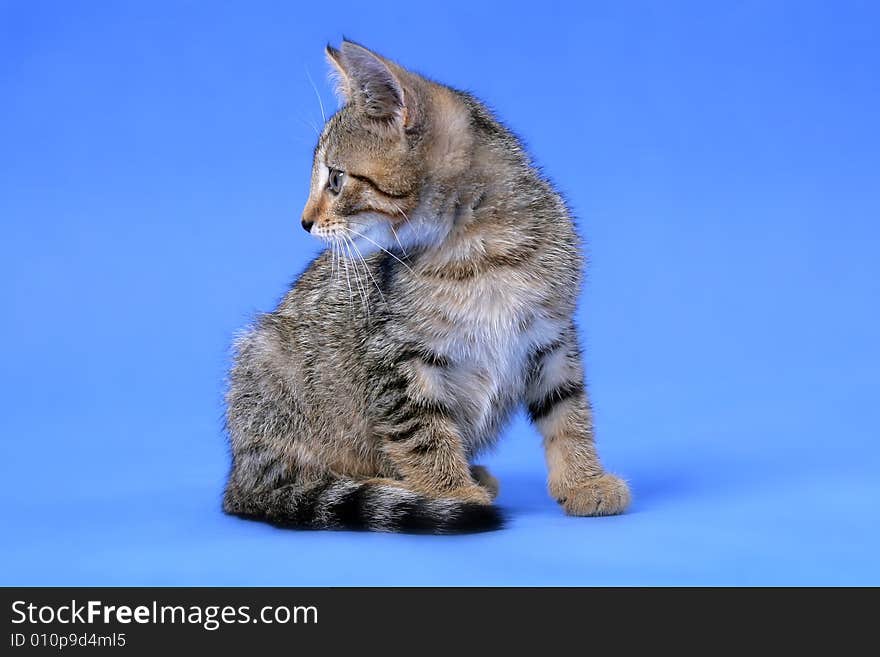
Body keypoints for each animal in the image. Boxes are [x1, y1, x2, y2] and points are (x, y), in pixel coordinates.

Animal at [223, 41, 628, 532]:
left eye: (336, 179)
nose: (303, 221)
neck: (479, 255)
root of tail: (239, 475)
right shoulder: (396, 359)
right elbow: (422, 432)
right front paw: (451, 493)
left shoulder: (552, 336)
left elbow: (567, 410)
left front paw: (584, 480)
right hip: (262, 358)